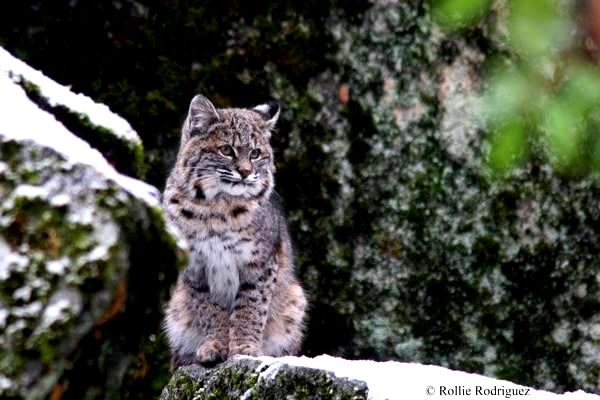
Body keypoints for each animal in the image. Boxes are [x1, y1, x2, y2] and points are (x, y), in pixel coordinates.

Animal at [163, 94, 308, 368]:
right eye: (226, 150)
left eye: (255, 153)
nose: (245, 172)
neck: (215, 206)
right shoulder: (196, 266)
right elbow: (208, 308)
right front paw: (215, 346)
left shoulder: (259, 263)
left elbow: (251, 307)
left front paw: (245, 349)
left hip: (296, 299)